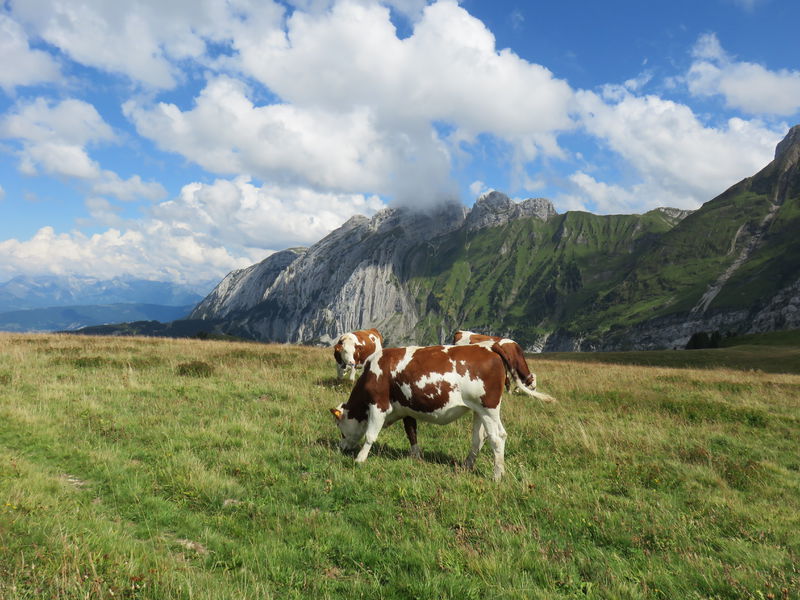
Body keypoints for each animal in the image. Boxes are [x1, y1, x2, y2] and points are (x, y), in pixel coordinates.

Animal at [329, 343, 554, 481]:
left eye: (341, 428)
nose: (341, 447)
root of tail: (489, 347)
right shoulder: (407, 407)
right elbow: (411, 432)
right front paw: (416, 457)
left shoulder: (379, 404)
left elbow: (370, 435)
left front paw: (360, 459)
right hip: (480, 410)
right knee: (480, 438)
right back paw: (467, 465)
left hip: (488, 407)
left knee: (497, 437)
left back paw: (497, 475)